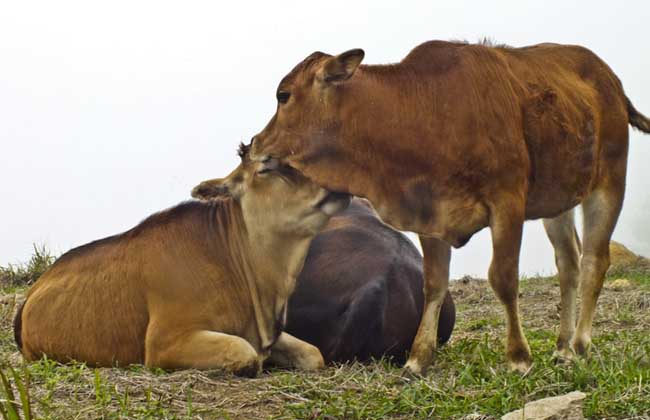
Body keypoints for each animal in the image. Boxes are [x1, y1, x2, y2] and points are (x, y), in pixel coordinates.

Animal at [13, 143, 350, 376]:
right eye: (266, 169)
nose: (335, 183)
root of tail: (31, 294)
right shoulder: (164, 343)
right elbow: (246, 354)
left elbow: (314, 353)